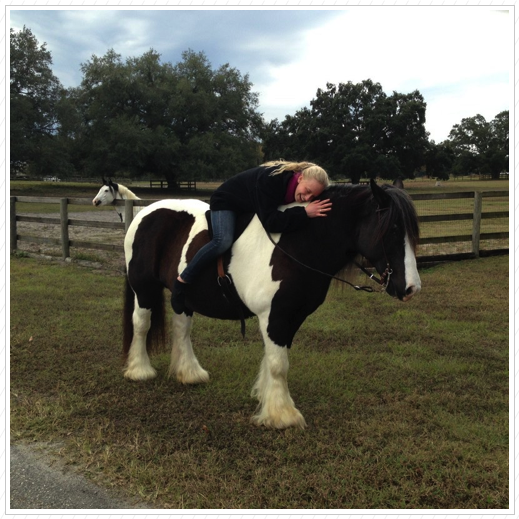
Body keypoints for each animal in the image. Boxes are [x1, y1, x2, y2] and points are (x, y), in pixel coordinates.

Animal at [123, 181, 422, 428]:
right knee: (141, 324)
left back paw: (189, 373)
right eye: (393, 229)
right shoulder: (275, 315)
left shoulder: (292, 316)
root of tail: (144, 212)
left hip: (183, 296)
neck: (297, 243)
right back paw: (139, 370)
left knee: (181, 329)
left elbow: (274, 358)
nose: (411, 288)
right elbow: (279, 364)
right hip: (144, 289)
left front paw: (266, 399)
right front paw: (282, 415)